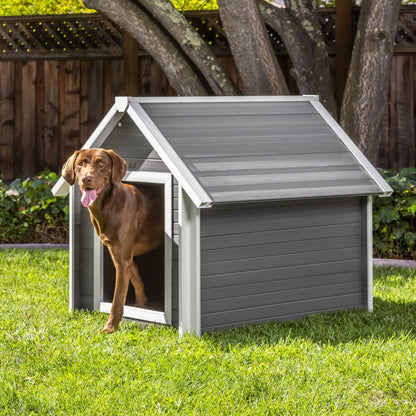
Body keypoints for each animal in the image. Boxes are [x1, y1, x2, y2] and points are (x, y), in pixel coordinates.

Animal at [61, 148, 164, 334]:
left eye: (101, 163)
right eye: (80, 164)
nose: (86, 178)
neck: (107, 207)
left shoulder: (122, 260)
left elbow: (118, 298)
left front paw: (110, 327)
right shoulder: (121, 255)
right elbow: (137, 281)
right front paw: (140, 306)